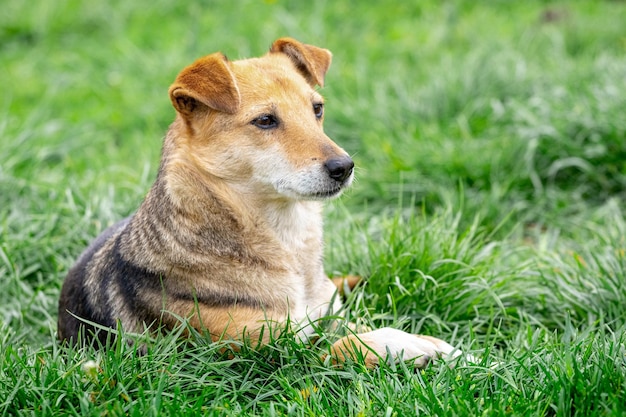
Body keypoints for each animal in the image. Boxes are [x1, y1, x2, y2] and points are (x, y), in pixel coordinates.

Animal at [58, 37, 458, 366]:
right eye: (265, 120)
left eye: (317, 109)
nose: (344, 167)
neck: (286, 241)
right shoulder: (263, 356)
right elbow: (345, 345)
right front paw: (411, 345)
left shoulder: (327, 316)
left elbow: (352, 327)